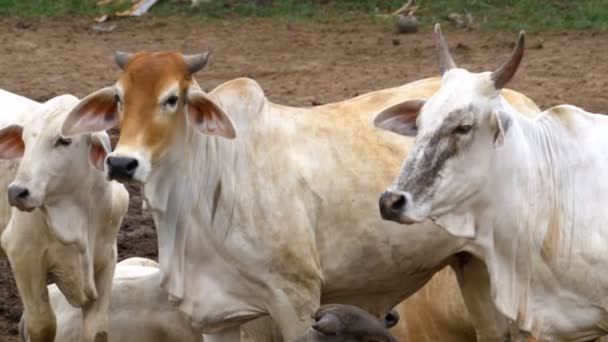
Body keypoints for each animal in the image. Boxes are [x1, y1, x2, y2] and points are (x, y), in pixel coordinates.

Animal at [59, 49, 540, 340]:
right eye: (119, 98)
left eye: (172, 98)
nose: (122, 164)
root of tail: (523, 105)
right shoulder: (214, 316)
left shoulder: (296, 300)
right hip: (472, 265)